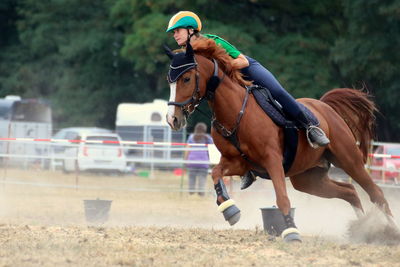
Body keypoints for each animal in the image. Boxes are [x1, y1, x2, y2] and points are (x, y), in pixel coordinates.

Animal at [163, 39, 394, 243]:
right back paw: (363, 228)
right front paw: (230, 210)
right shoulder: (238, 162)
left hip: (348, 160)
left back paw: (390, 230)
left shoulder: (272, 160)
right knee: (349, 191)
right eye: (169, 81)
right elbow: (216, 173)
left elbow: (282, 197)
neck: (236, 112)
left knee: (376, 193)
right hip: (308, 179)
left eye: (186, 79)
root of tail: (325, 106)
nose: (173, 119)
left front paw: (291, 232)